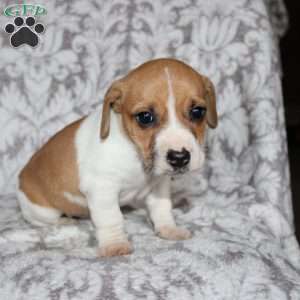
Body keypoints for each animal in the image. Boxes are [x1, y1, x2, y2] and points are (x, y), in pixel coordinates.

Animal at [17, 58, 218, 255]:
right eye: (145, 117)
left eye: (197, 112)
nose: (179, 157)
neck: (135, 155)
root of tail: (21, 178)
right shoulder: (102, 190)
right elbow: (111, 218)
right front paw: (115, 244)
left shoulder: (159, 185)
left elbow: (161, 208)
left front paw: (168, 228)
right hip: (42, 211)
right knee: (43, 220)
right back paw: (65, 221)